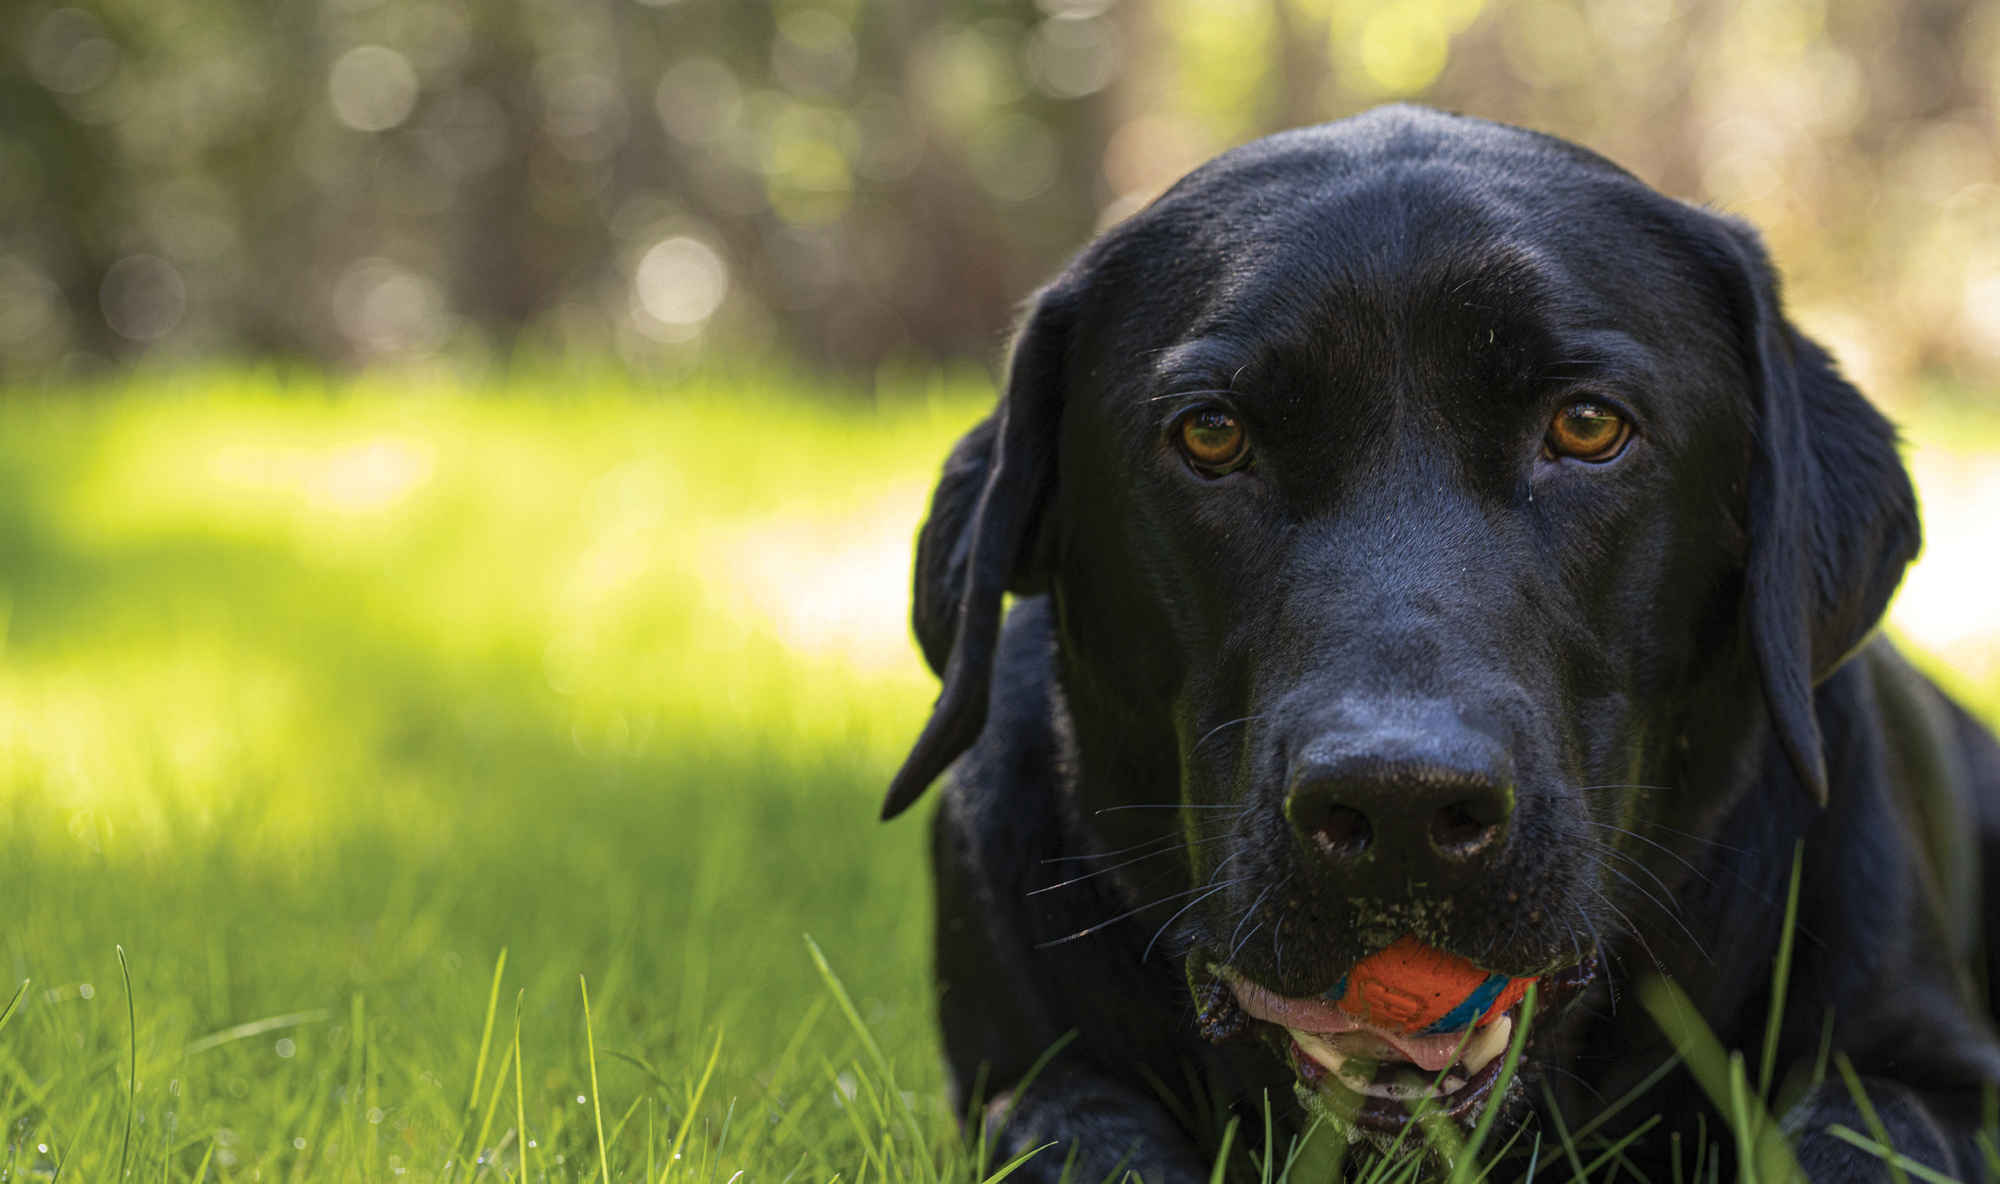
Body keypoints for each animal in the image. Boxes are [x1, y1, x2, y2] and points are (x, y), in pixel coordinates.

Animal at [880, 106, 2000, 1176]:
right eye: (1211, 434)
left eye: (1587, 425)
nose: (1400, 808)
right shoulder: (1013, 1079)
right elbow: (1083, 1133)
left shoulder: (1922, 1065)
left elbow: (1854, 1133)